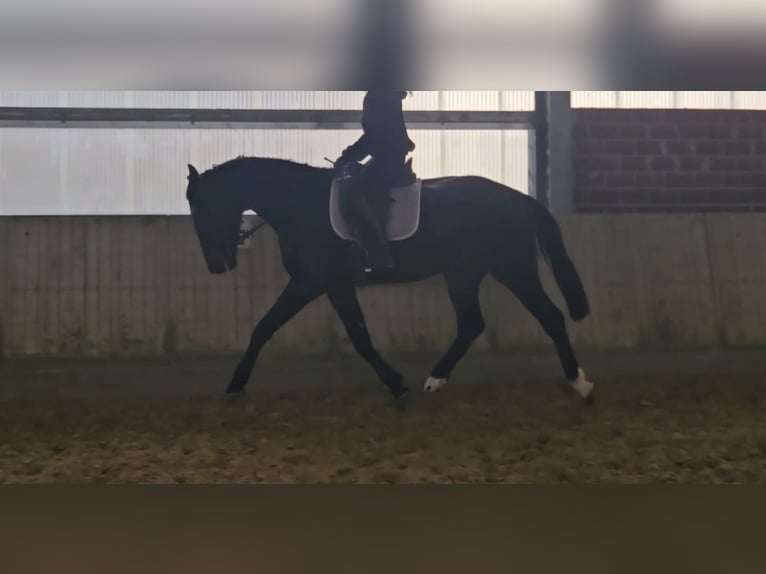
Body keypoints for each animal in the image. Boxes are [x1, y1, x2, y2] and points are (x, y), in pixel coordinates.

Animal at [185, 156, 595, 409]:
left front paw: (235, 384)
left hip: (512, 269)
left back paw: (581, 384)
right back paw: (435, 380)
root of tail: (521, 200)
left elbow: (266, 326)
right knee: (472, 324)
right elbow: (359, 335)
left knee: (550, 317)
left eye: (201, 209)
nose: (217, 265)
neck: (300, 205)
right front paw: (399, 385)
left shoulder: (311, 281)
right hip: (464, 273)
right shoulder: (333, 284)